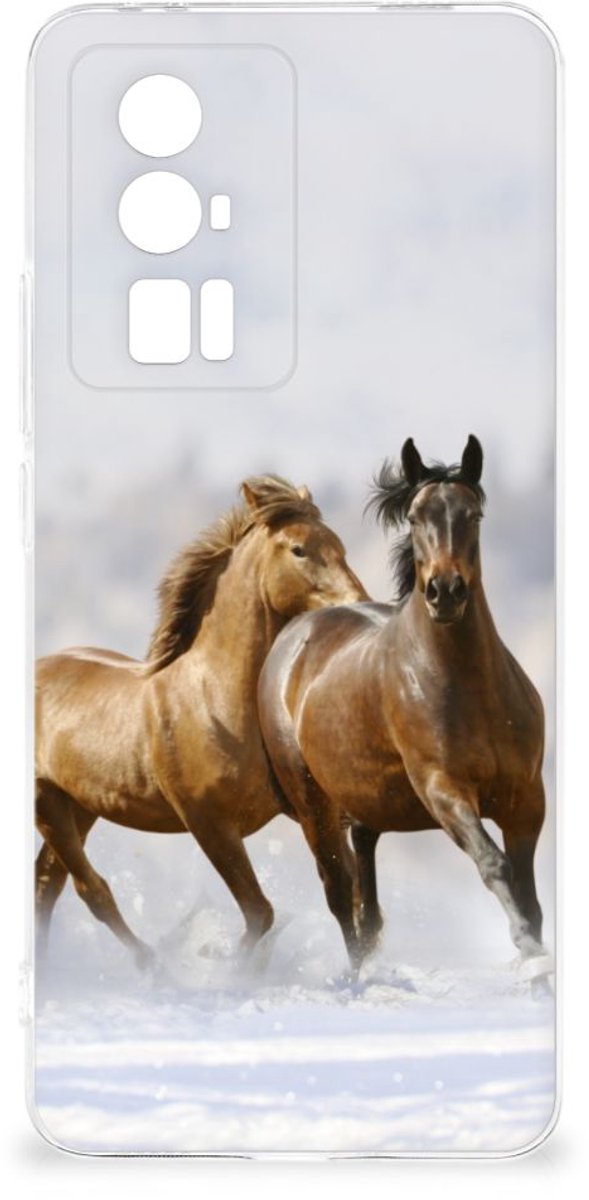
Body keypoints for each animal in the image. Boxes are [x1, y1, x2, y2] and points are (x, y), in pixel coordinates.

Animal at [35, 475, 367, 967]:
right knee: (88, 889)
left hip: (79, 805)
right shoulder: (208, 823)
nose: (359, 604)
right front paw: (225, 965)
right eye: (299, 549)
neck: (216, 701)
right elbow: (260, 912)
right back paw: (153, 964)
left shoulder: (309, 809)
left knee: (47, 882)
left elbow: (342, 887)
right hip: (48, 802)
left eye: (340, 545)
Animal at [258, 437, 547, 973]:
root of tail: (293, 636)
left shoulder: (526, 799)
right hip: (313, 806)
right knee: (339, 894)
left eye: (474, 514)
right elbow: (494, 865)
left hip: (364, 804)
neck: (470, 689)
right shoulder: (444, 790)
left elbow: (529, 895)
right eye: (414, 517)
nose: (445, 592)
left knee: (365, 900)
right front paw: (530, 953)